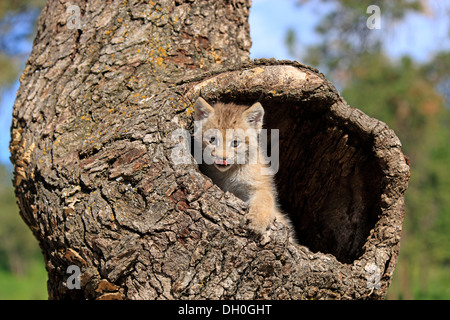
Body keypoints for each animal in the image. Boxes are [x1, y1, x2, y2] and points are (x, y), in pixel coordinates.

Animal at [193, 97, 288, 232]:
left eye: (235, 143)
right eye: (212, 140)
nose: (222, 158)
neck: (227, 173)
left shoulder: (260, 185)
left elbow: (265, 198)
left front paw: (258, 222)